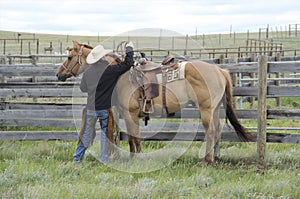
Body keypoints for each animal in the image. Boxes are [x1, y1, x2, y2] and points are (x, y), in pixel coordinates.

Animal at [55, 40, 251, 163]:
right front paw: (134, 157)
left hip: (206, 109)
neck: (120, 75)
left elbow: (134, 138)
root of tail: (220, 70)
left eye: (70, 57)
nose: (59, 74)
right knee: (218, 131)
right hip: (215, 109)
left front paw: (135, 159)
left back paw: (207, 160)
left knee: (210, 132)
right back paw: (216, 157)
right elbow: (131, 138)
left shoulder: (130, 113)